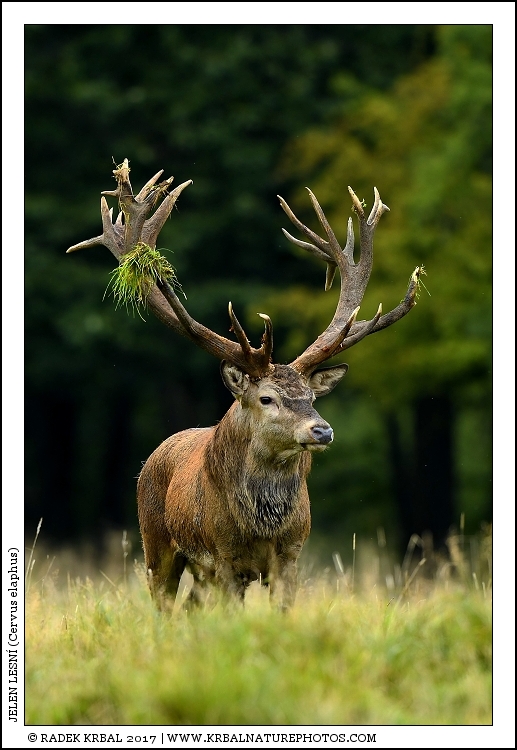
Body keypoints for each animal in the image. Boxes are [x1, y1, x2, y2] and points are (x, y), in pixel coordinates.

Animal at [67, 159, 422, 610]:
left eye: (311, 396)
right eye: (266, 398)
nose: (321, 430)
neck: (261, 527)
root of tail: (152, 458)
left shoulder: (291, 556)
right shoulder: (223, 557)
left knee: (189, 606)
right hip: (155, 542)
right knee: (164, 604)